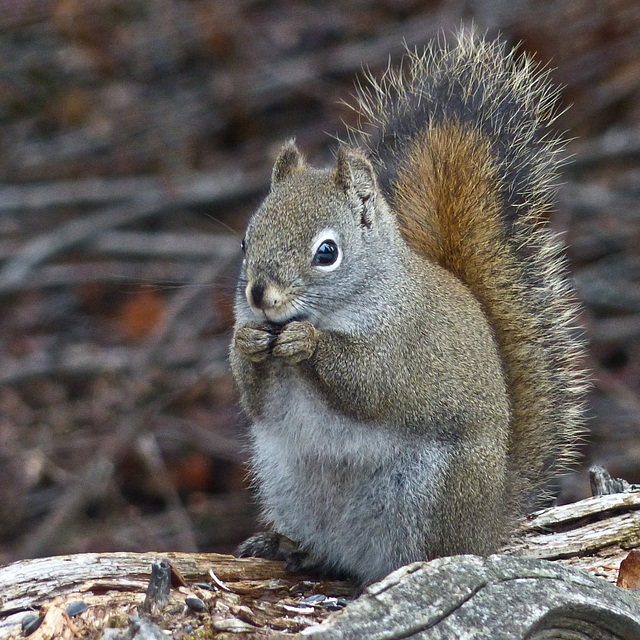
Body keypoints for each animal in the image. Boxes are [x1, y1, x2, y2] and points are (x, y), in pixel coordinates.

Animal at [230, 32, 592, 588]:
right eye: (246, 241)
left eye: (327, 252)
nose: (259, 295)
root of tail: (487, 525)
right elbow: (257, 400)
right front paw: (247, 342)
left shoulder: (403, 341)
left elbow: (371, 381)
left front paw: (306, 343)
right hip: (287, 482)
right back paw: (295, 549)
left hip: (429, 494)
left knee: (420, 552)